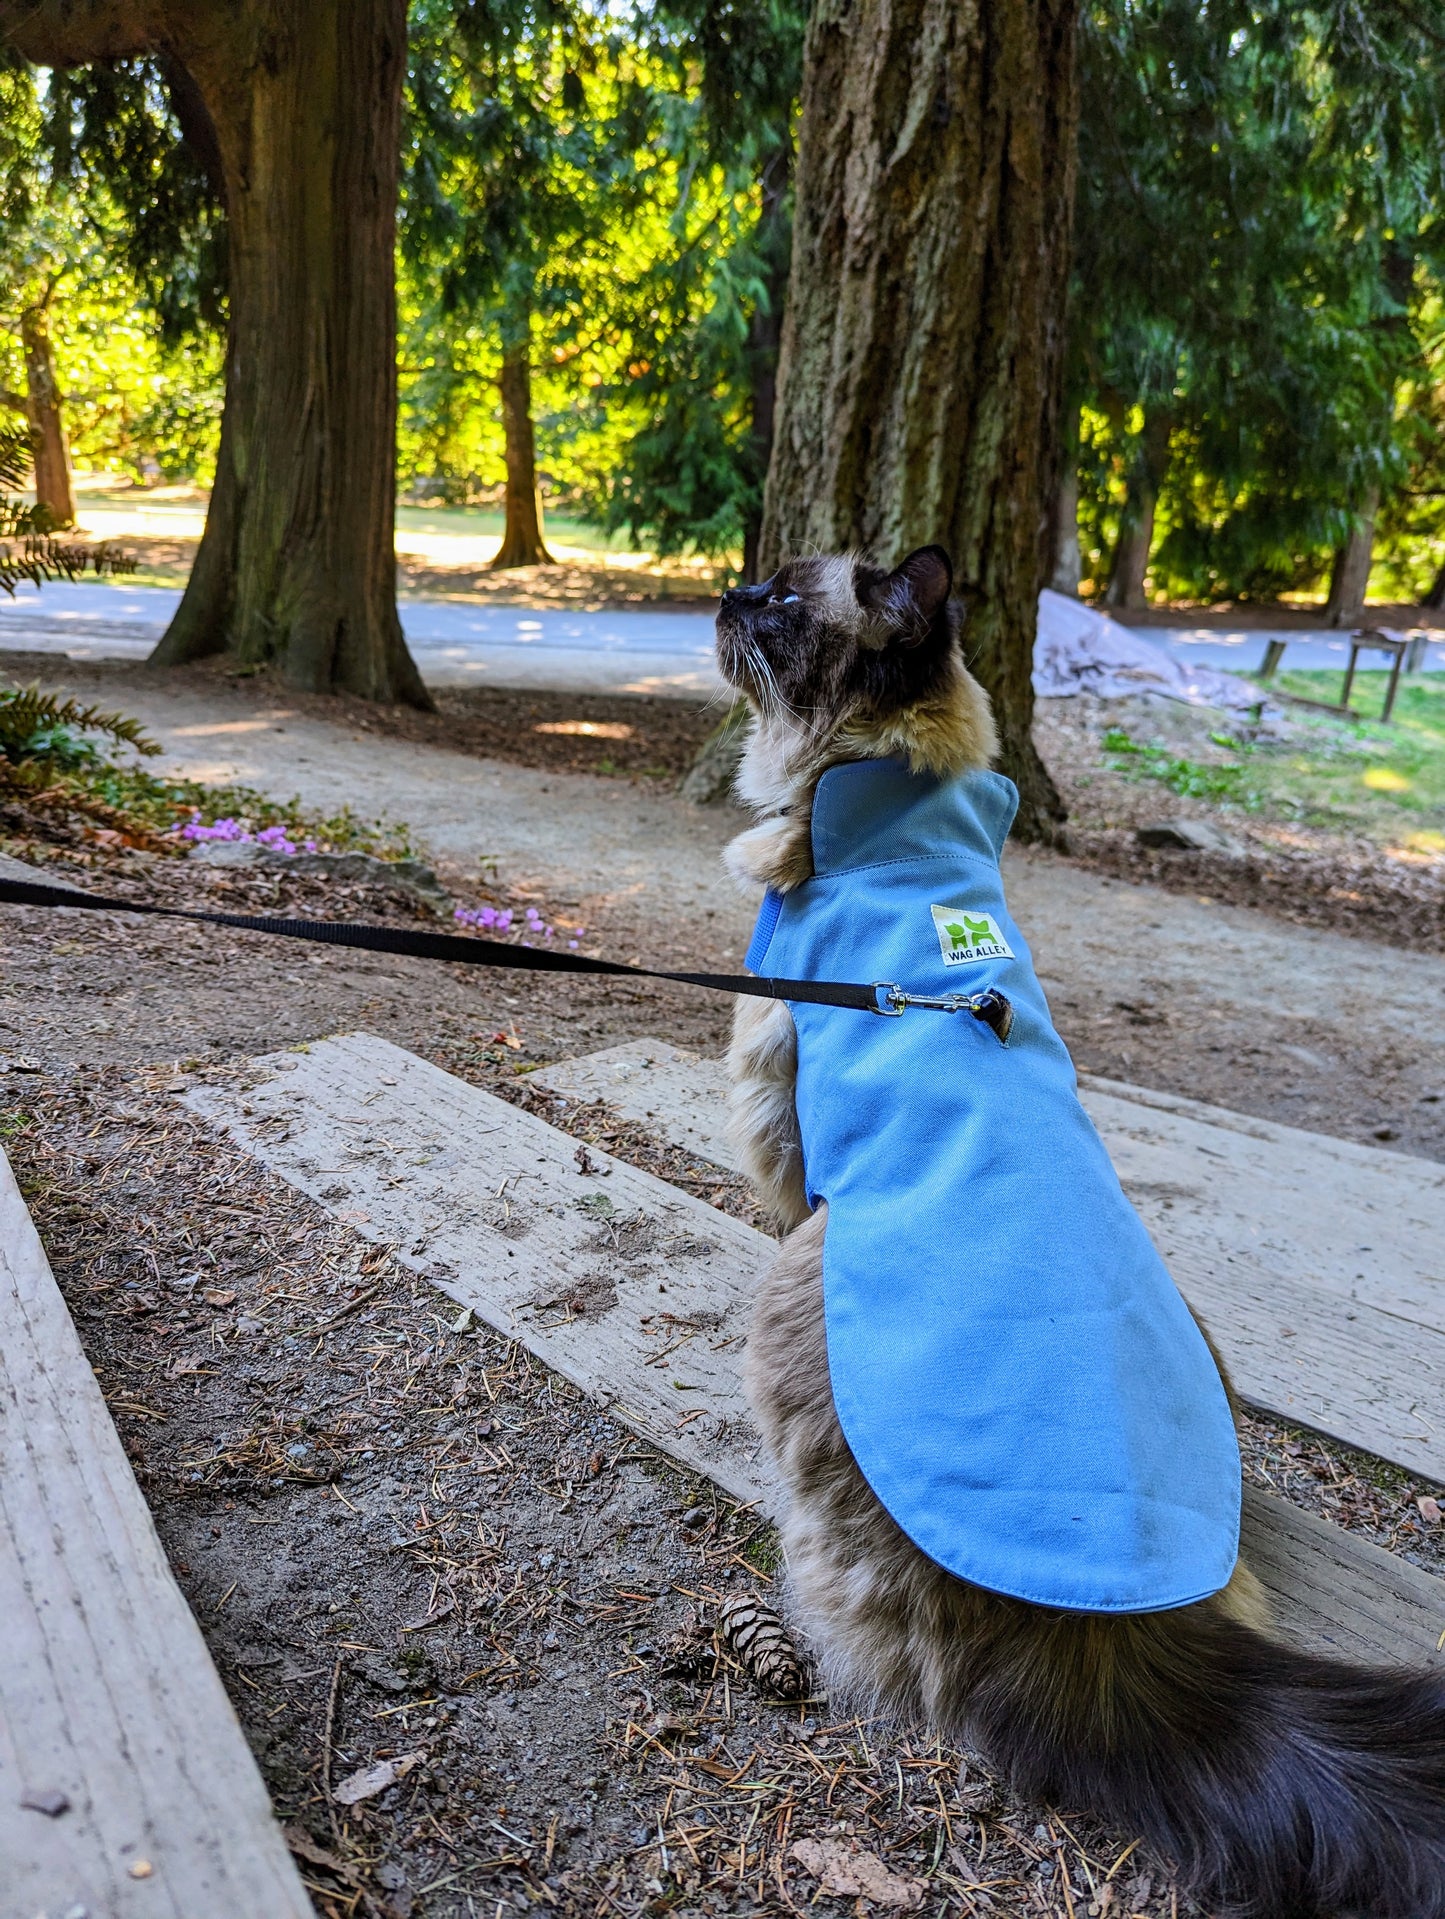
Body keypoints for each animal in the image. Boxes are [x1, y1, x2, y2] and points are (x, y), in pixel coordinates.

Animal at [717, 541, 1443, 1919]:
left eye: (784, 600)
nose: (725, 591)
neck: (892, 825)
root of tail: (1119, 1634)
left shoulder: (778, 1111)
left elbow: (763, 1180)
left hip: (805, 1273)